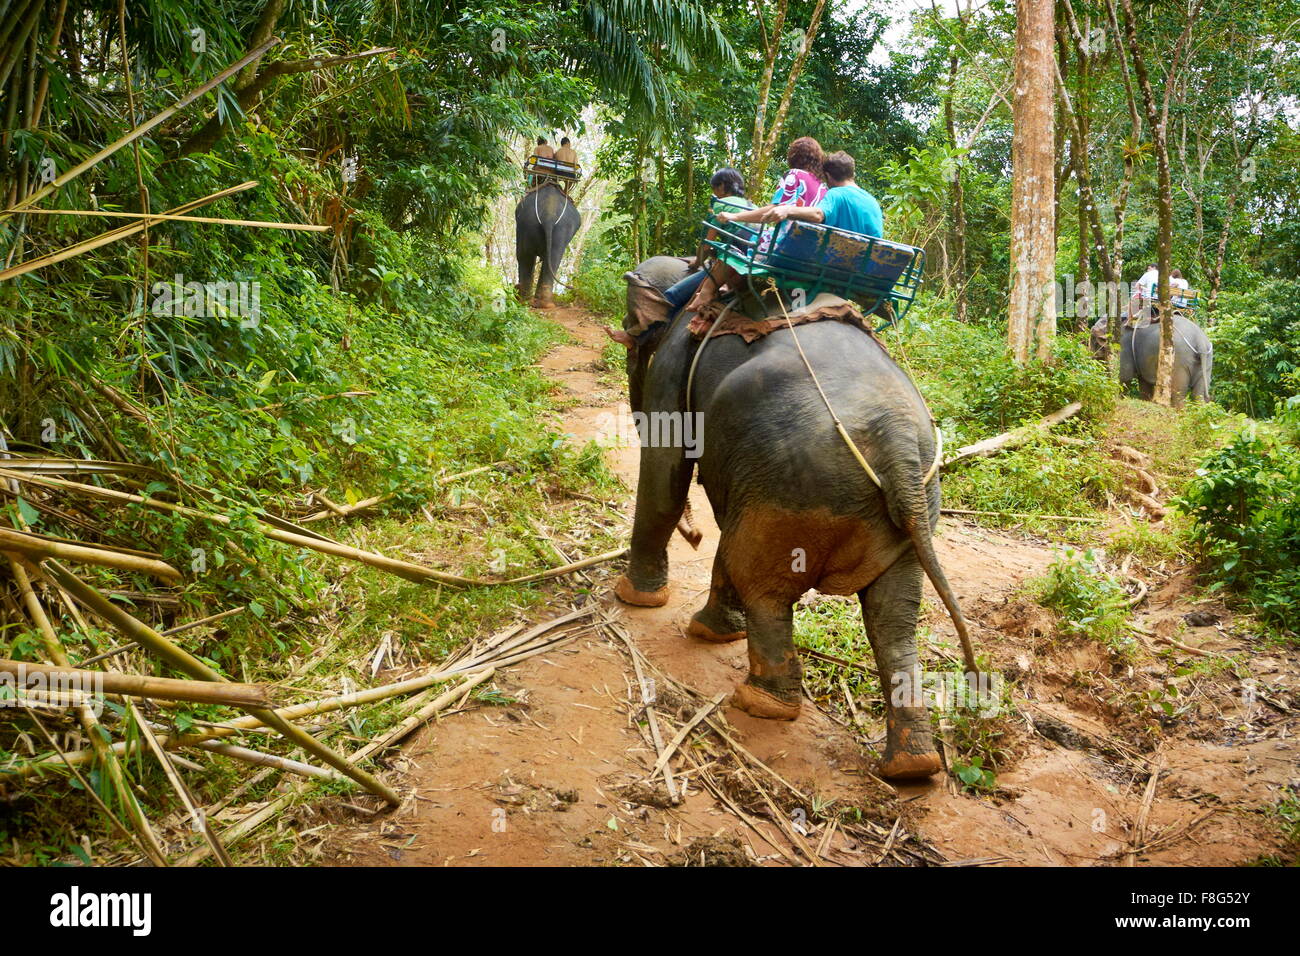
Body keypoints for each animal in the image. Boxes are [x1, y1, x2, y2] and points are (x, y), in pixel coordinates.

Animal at [605, 256, 977, 780]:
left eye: (631, 330)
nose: (692, 535)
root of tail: (897, 443)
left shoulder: (676, 359)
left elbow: (665, 468)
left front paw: (636, 599)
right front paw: (712, 629)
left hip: (791, 484)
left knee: (763, 583)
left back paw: (762, 703)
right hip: (910, 509)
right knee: (894, 618)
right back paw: (912, 765)